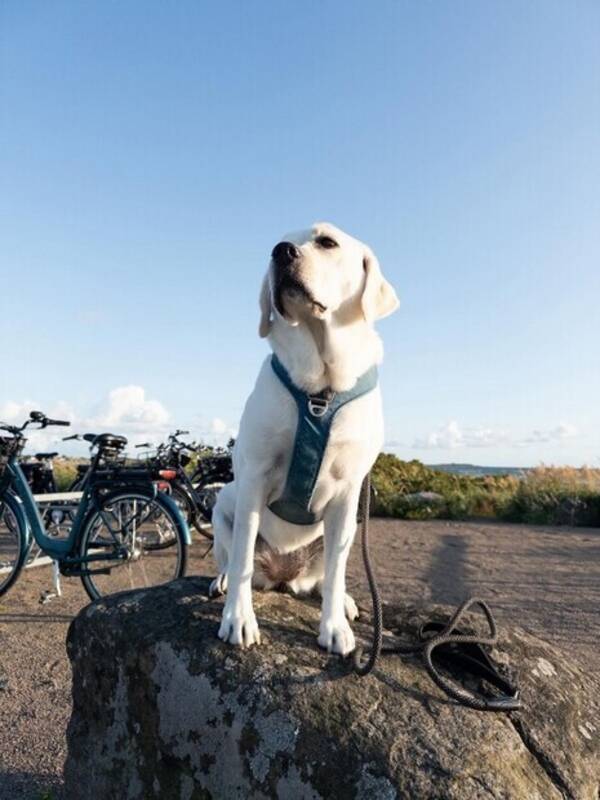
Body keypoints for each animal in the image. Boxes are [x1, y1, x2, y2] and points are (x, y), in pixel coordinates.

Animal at [211, 222, 398, 652]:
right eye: (275, 246)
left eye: (327, 242)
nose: (280, 252)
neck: (320, 390)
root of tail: (284, 574)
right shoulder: (255, 475)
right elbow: (242, 558)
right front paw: (238, 618)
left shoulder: (349, 491)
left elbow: (337, 571)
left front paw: (334, 626)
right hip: (225, 499)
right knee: (232, 557)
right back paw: (223, 581)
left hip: (344, 528)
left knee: (328, 572)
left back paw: (341, 601)